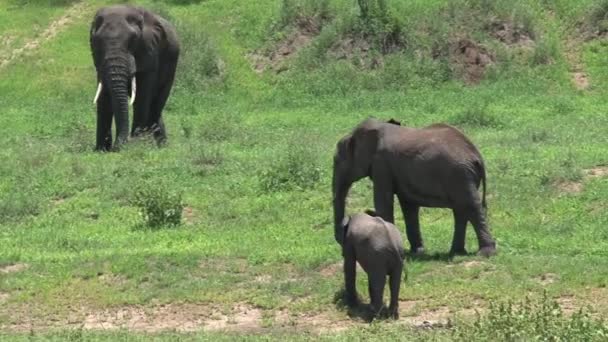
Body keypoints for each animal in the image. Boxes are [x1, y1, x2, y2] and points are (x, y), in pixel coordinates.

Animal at [89, 4, 178, 151]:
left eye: (134, 40)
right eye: (97, 41)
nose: (117, 147)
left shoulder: (150, 51)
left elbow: (142, 96)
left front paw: (137, 145)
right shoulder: (99, 60)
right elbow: (103, 96)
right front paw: (101, 150)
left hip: (172, 64)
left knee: (155, 104)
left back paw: (160, 146)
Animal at [332, 117, 498, 256]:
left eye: (337, 161)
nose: (347, 221)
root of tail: (477, 156)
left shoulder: (381, 164)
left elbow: (384, 204)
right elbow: (409, 206)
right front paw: (416, 252)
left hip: (459, 175)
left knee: (471, 206)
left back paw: (485, 254)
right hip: (461, 177)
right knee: (461, 209)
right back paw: (456, 253)